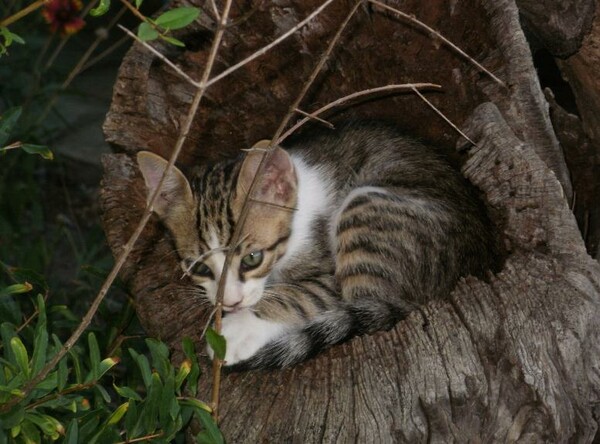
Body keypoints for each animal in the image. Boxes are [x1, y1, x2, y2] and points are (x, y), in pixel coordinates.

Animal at [137, 120, 496, 368]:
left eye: (252, 258)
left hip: (367, 207)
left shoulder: (327, 272)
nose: (231, 303)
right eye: (199, 267)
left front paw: (235, 331)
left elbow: (301, 295)